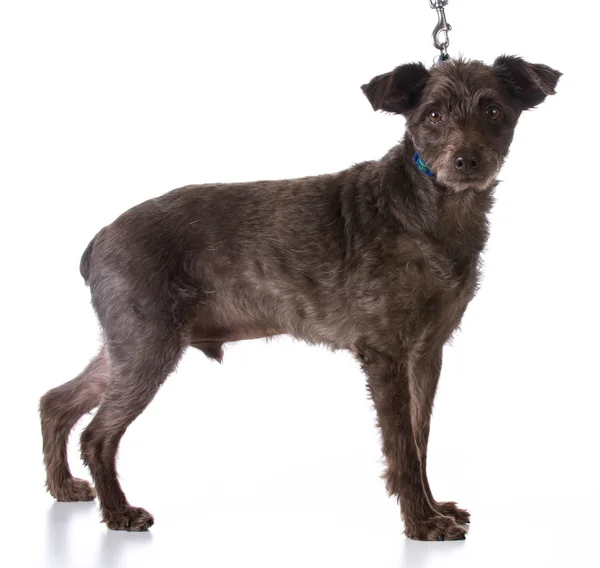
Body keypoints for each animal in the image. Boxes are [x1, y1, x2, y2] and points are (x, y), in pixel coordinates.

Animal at [39, 55, 560, 540]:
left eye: (493, 110)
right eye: (432, 115)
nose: (466, 160)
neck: (431, 207)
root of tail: (98, 241)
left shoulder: (426, 353)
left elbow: (420, 437)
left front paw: (433, 508)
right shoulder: (386, 354)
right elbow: (403, 448)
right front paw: (421, 523)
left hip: (127, 346)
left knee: (56, 401)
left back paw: (63, 486)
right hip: (149, 346)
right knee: (97, 435)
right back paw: (118, 513)